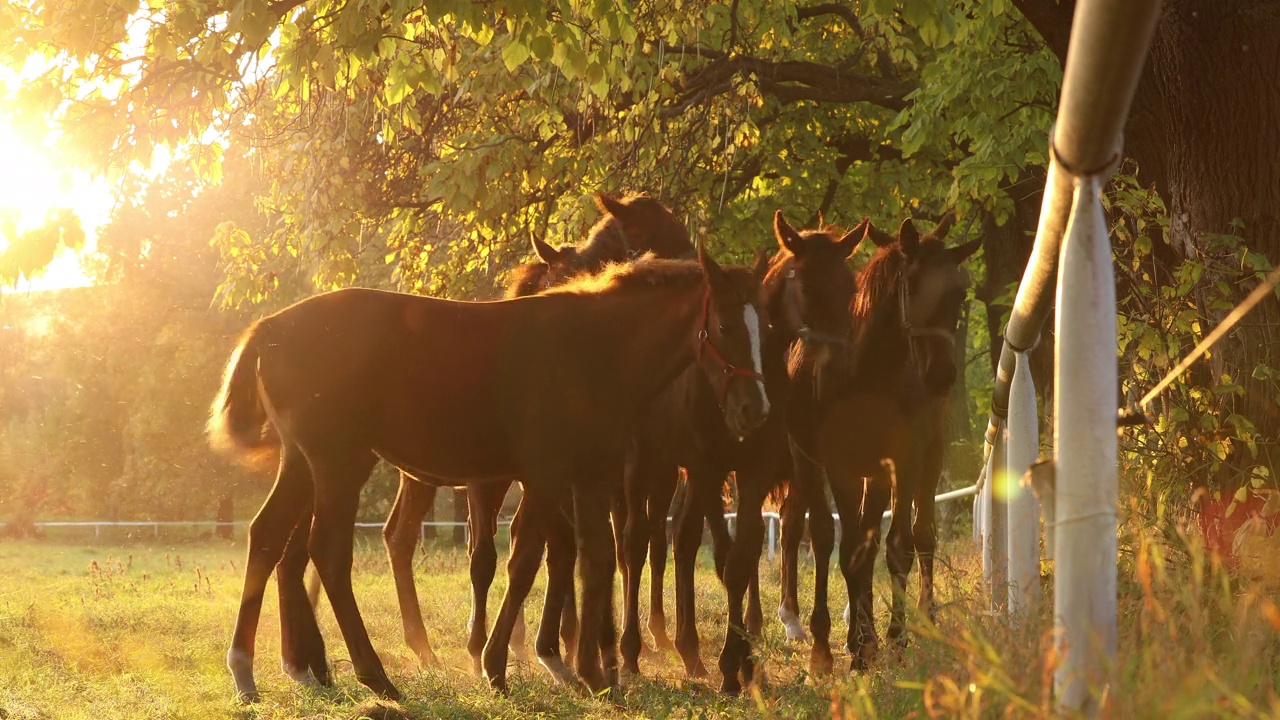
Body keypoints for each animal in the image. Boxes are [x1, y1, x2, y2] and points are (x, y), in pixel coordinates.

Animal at [209, 248, 768, 702]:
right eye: (724, 327)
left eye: (765, 329)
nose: (753, 409)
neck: (591, 349)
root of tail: (272, 328)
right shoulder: (545, 476)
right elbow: (524, 563)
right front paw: (496, 666)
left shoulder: (592, 478)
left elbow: (595, 561)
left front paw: (594, 675)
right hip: (338, 464)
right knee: (325, 552)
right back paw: (375, 676)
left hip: (303, 464)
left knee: (268, 537)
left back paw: (252, 669)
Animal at [373, 192, 696, 671]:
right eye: (657, 232)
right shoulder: (497, 479)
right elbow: (491, 556)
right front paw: (489, 647)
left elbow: (572, 548)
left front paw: (573, 642)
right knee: (405, 537)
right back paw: (431, 644)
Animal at [778, 211, 977, 671]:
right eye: (913, 283)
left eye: (960, 293)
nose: (941, 375)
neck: (869, 372)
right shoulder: (840, 466)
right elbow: (848, 548)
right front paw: (856, 645)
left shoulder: (901, 461)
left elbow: (897, 547)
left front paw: (893, 639)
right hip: (810, 462)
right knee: (819, 534)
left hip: (916, 461)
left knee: (910, 538)